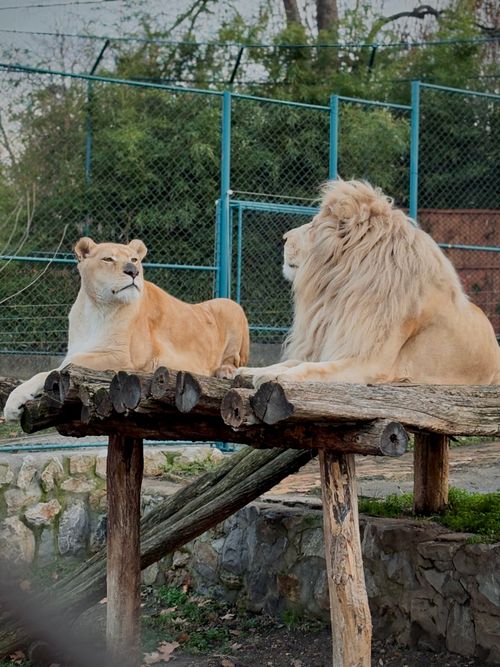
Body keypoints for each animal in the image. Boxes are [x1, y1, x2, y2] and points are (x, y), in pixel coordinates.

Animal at [4, 237, 249, 420]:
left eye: (134, 259)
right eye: (108, 259)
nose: (133, 271)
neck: (97, 308)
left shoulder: (123, 357)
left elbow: (59, 368)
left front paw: (12, 402)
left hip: (230, 305)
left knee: (234, 360)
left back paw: (225, 371)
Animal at [239, 179, 500, 387]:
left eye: (313, 226)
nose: (283, 238)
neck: (337, 291)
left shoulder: (373, 362)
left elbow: (312, 367)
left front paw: (277, 377)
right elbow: (291, 361)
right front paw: (249, 370)